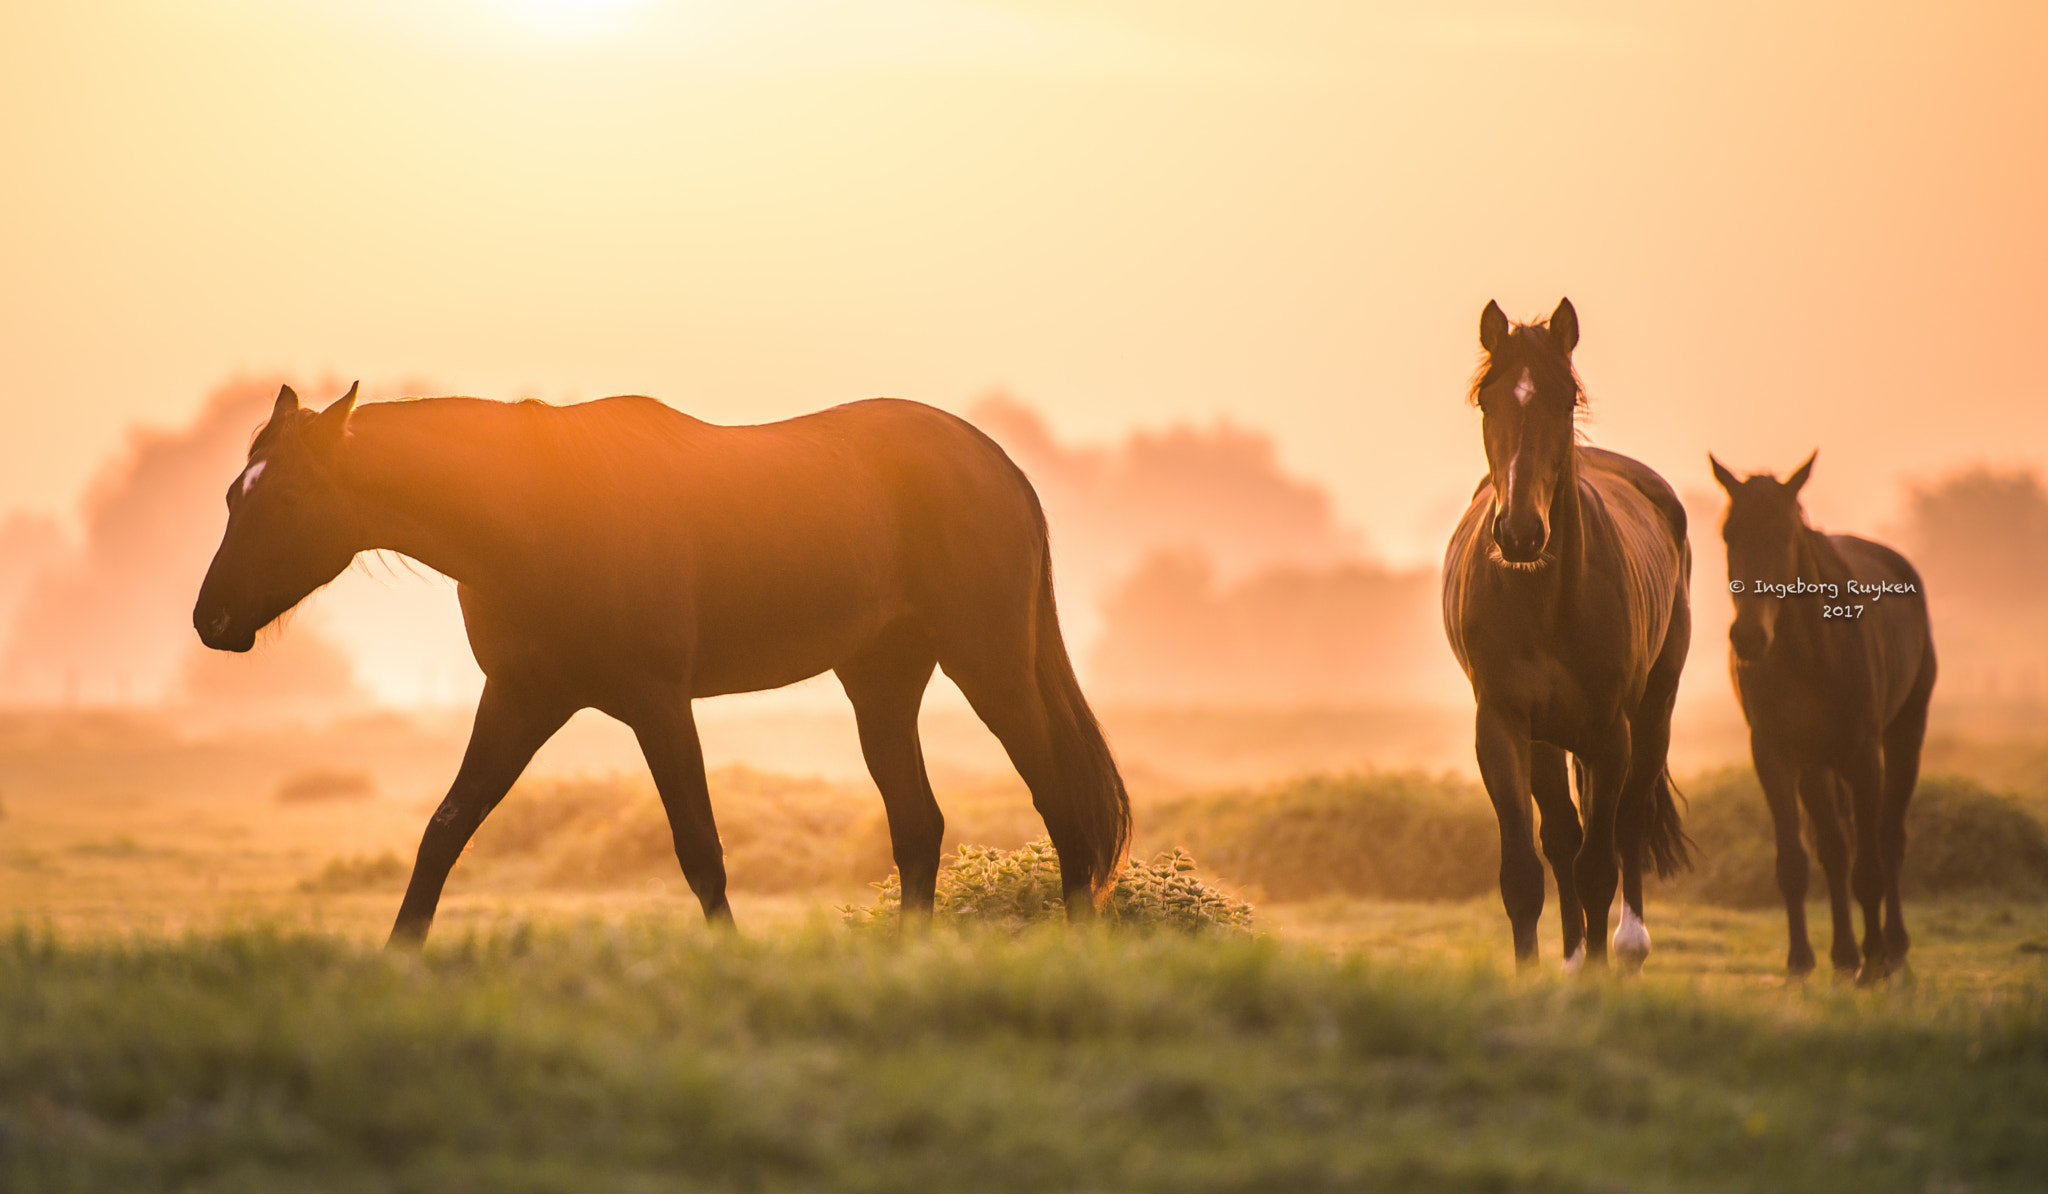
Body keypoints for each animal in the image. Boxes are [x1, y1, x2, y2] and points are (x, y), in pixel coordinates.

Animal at [194, 384, 1132, 946]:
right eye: (233, 492)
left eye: (287, 495)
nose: (211, 620)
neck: (539, 510)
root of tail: (998, 466)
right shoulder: (522, 697)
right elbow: (445, 830)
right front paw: (399, 954)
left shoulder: (656, 701)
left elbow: (698, 846)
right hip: (881, 681)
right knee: (920, 824)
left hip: (988, 661)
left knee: (1059, 801)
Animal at [1442, 298, 1693, 972]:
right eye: (1487, 402)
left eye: (1564, 400)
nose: (1521, 533)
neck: (1545, 604)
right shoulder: (1502, 725)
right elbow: (1525, 873)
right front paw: (1534, 974)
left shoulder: (1610, 733)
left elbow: (1599, 866)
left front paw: (1599, 975)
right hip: (1547, 737)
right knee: (1560, 835)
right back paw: (1576, 955)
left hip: (1652, 711)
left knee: (1629, 821)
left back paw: (1628, 948)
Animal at [1710, 453, 1935, 983]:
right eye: (1729, 534)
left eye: (1785, 535)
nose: (1748, 638)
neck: (1809, 653)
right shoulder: (1772, 754)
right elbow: (1796, 862)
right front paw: (1800, 960)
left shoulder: (1863, 757)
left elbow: (1869, 867)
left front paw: (1875, 963)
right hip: (1816, 764)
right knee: (1834, 848)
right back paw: (1844, 955)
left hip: (1904, 734)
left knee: (1888, 839)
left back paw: (1892, 949)